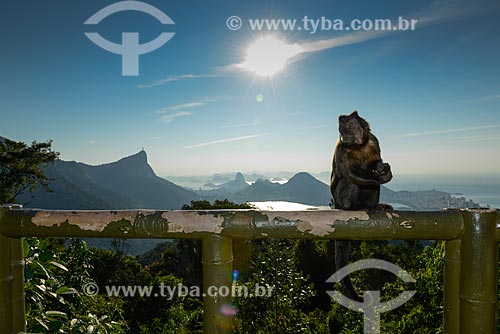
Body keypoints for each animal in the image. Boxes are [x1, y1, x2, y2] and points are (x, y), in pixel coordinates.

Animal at [330, 111, 392, 302]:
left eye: (349, 127)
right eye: (341, 129)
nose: (345, 135)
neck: (359, 145)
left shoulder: (373, 140)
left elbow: (375, 161)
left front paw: (382, 169)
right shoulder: (341, 148)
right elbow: (352, 173)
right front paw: (381, 176)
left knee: (371, 187)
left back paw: (375, 206)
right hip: (340, 199)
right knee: (350, 182)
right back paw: (354, 207)